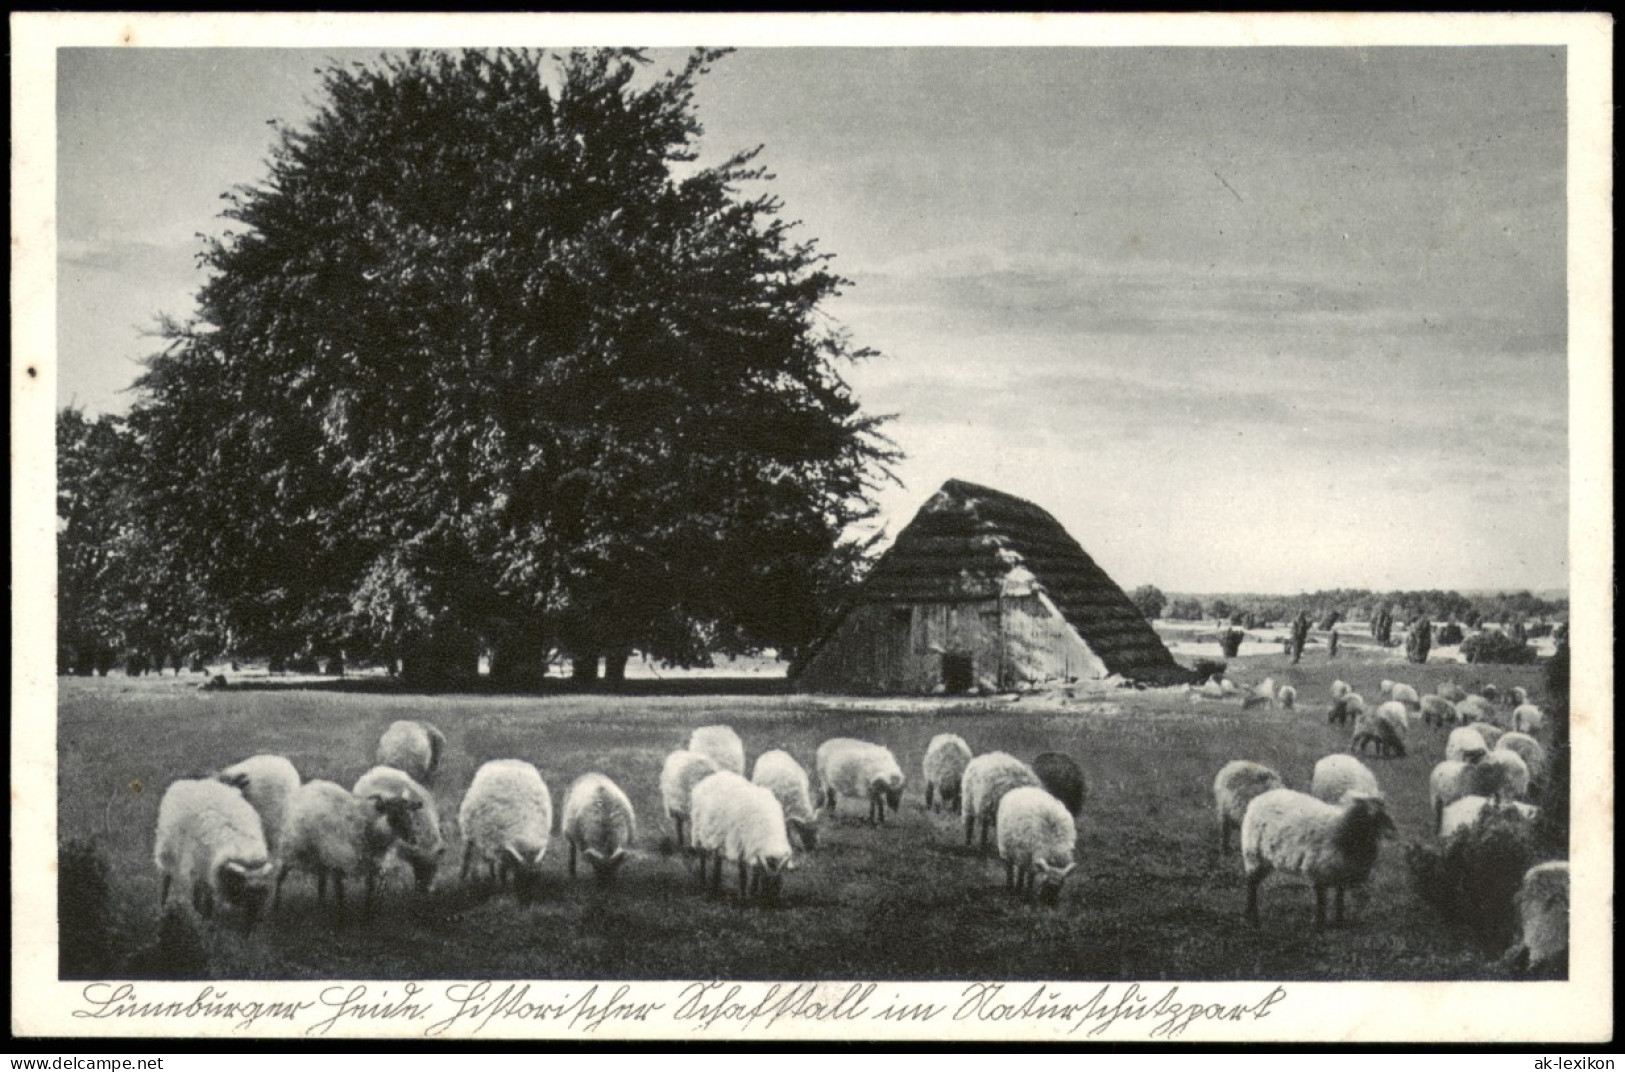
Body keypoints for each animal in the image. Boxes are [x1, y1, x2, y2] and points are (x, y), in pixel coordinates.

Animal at [155, 779, 276, 929]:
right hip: (167, 852)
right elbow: (203, 898)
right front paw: (204, 920)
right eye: (243, 890)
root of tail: (191, 782)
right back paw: (163, 907)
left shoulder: (209, 870)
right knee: (166, 879)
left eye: (263, 891)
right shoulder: (201, 868)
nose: (254, 921)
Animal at [276, 779, 422, 916]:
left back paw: (321, 906)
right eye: (394, 813)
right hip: (294, 848)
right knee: (280, 875)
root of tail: (309, 786)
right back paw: (275, 906)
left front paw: (368, 915)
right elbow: (340, 894)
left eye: (410, 814)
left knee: (321, 883)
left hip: (321, 856)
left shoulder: (370, 864)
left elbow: (370, 891)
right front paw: (341, 918)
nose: (413, 839)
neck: (367, 824)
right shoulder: (339, 859)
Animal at [461, 756, 555, 903]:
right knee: (468, 855)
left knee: (490, 863)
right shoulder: (500, 846)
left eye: (537, 877)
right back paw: (466, 879)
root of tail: (504, 760)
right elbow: (502, 872)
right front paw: (503, 891)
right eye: (520, 876)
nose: (528, 903)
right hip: (471, 834)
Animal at [685, 769, 793, 903]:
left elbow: (755, 872)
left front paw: (753, 892)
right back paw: (703, 882)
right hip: (699, 833)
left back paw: (716, 885)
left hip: (719, 839)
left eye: (780, 878)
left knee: (717, 860)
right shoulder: (741, 846)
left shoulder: (754, 849)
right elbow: (743, 875)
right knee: (703, 857)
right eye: (767, 877)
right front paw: (743, 897)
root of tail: (713, 776)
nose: (772, 900)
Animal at [1241, 786, 1397, 929]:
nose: (1393, 831)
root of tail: (1259, 798)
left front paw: (1339, 922)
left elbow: (1339, 898)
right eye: (1372, 815)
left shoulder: (1341, 873)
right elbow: (1322, 900)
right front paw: (1320, 925)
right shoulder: (1318, 871)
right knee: (1251, 884)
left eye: (1383, 811)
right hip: (1254, 855)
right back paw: (1252, 917)